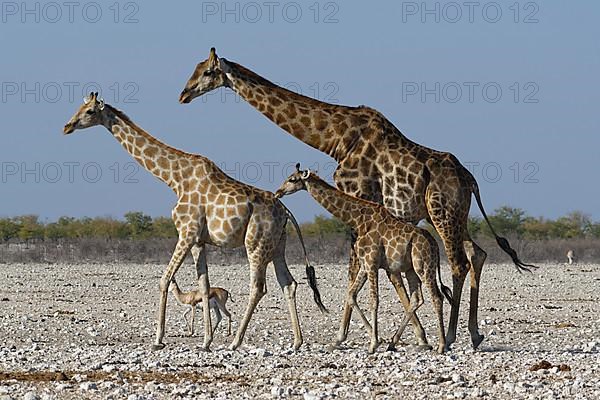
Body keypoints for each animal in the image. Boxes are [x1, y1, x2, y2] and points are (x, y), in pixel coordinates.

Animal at [63, 92, 326, 352]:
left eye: (89, 111)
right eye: (78, 107)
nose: (67, 126)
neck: (175, 179)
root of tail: (286, 211)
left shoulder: (186, 232)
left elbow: (165, 280)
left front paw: (158, 339)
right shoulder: (199, 240)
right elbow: (204, 287)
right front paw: (206, 341)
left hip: (256, 243)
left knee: (259, 287)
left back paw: (235, 342)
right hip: (277, 244)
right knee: (288, 283)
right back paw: (296, 341)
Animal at [274, 165, 452, 354]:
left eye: (292, 179)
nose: (278, 192)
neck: (358, 220)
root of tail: (435, 245)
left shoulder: (372, 262)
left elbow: (374, 301)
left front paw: (373, 343)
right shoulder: (366, 264)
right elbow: (351, 295)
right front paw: (375, 339)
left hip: (423, 266)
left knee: (437, 298)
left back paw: (441, 345)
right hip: (411, 269)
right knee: (417, 298)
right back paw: (393, 342)